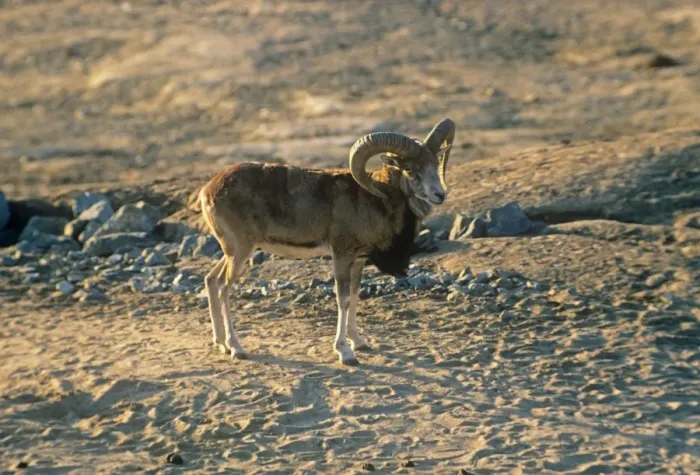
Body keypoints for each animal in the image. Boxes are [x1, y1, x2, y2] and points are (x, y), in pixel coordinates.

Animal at [199, 118, 455, 365]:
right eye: (410, 169)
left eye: (435, 164)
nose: (439, 195)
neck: (375, 198)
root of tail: (207, 191)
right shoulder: (341, 256)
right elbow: (343, 299)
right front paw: (346, 354)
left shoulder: (358, 261)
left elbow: (355, 295)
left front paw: (359, 343)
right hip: (240, 252)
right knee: (223, 288)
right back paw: (236, 349)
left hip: (234, 252)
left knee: (211, 280)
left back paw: (221, 344)